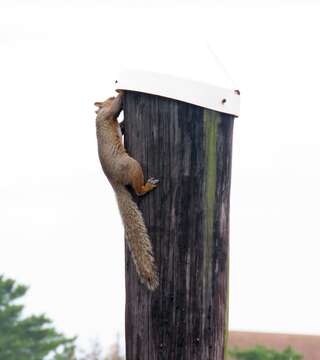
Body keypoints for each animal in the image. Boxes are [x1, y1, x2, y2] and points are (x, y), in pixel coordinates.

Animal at [95, 91, 160, 292]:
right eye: (107, 98)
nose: (110, 94)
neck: (99, 114)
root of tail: (114, 183)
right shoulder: (108, 114)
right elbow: (116, 107)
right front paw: (121, 92)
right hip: (133, 166)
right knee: (138, 191)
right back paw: (147, 186)